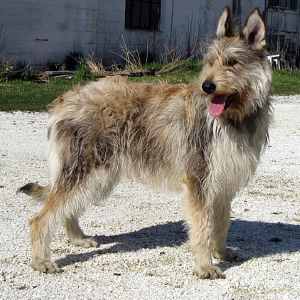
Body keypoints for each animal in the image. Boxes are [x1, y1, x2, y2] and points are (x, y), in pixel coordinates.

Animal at [18, 7, 272, 278]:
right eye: (211, 62)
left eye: (233, 62)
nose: (207, 86)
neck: (232, 118)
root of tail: (67, 99)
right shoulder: (199, 183)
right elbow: (203, 227)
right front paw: (205, 265)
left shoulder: (223, 184)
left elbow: (221, 224)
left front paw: (221, 252)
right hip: (85, 172)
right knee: (41, 219)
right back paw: (41, 260)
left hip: (98, 178)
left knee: (67, 208)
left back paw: (77, 238)